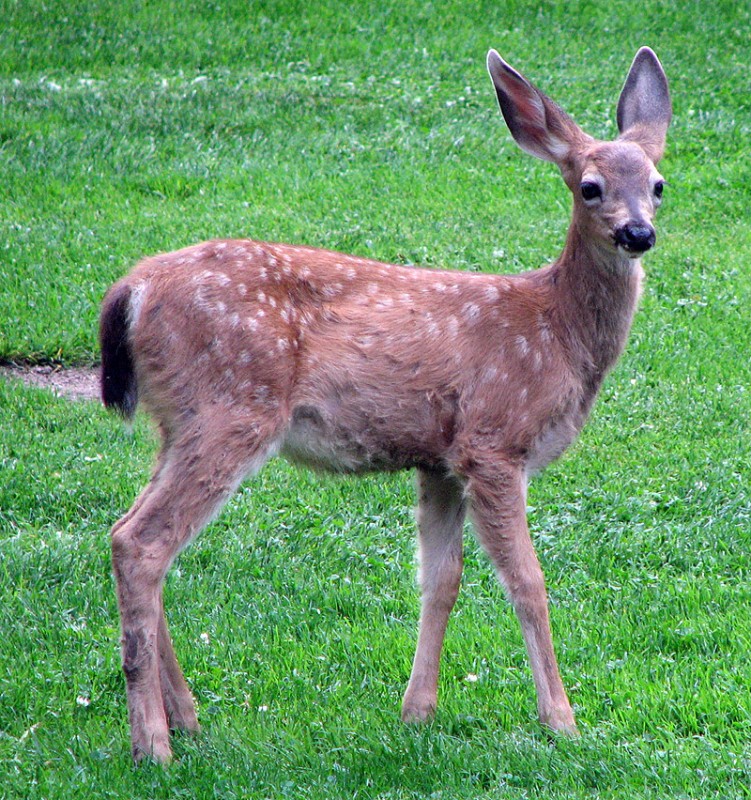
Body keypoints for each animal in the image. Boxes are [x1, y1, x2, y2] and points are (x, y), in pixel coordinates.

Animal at [99, 47, 671, 762]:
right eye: (590, 186)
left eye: (659, 184)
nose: (638, 233)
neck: (555, 332)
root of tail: (133, 289)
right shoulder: (493, 441)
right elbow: (528, 583)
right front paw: (561, 720)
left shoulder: (441, 458)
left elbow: (442, 579)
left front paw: (417, 712)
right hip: (232, 406)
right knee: (141, 541)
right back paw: (153, 741)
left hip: (179, 420)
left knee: (133, 532)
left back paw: (189, 719)